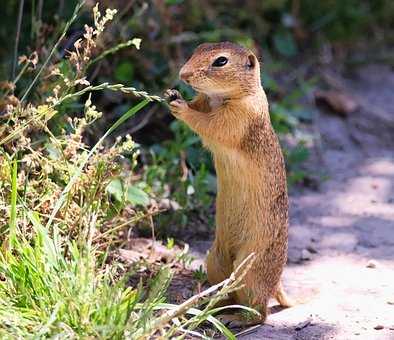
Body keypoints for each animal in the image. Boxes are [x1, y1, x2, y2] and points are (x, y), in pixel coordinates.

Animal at [164, 41, 292, 322]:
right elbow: (200, 109)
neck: (222, 97)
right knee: (229, 293)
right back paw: (210, 306)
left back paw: (235, 318)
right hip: (214, 259)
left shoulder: (238, 117)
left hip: (250, 270)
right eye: (198, 48)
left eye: (220, 61)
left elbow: (208, 125)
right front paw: (172, 94)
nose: (183, 75)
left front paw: (181, 107)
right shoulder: (205, 101)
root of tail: (277, 283)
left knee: (259, 311)